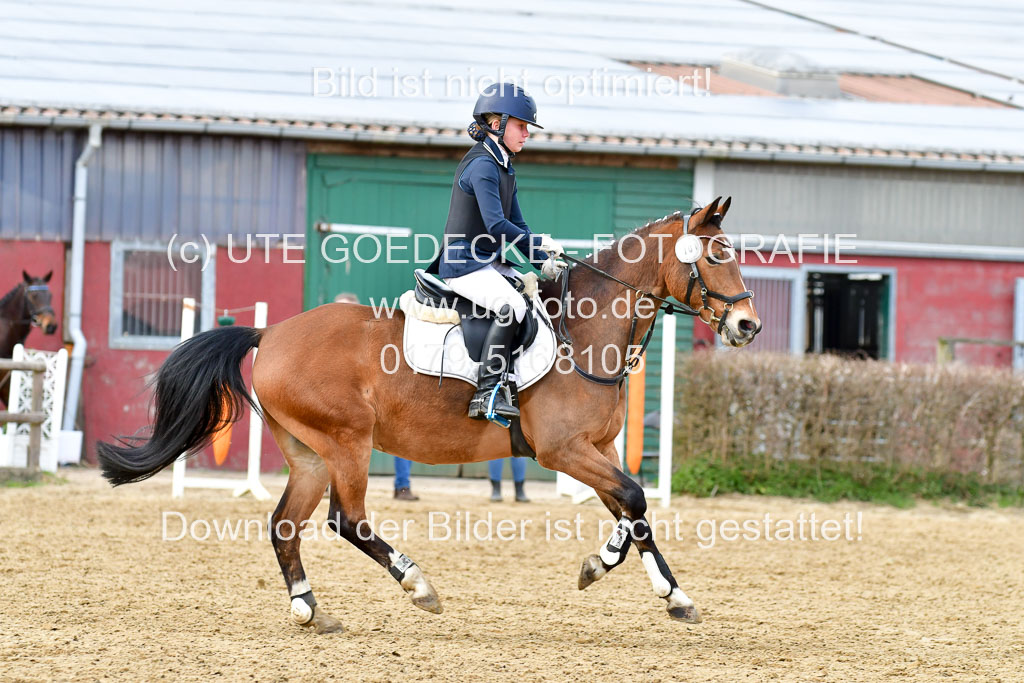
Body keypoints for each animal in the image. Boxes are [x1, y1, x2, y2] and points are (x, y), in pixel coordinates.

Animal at [97, 197, 761, 634]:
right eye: (715, 256)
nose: (747, 325)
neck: (585, 329)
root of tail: (271, 333)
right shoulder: (563, 450)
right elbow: (637, 500)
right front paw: (619, 574)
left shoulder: (599, 449)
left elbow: (633, 509)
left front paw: (659, 589)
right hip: (347, 442)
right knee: (348, 520)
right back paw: (418, 586)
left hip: (309, 453)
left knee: (286, 525)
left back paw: (309, 607)